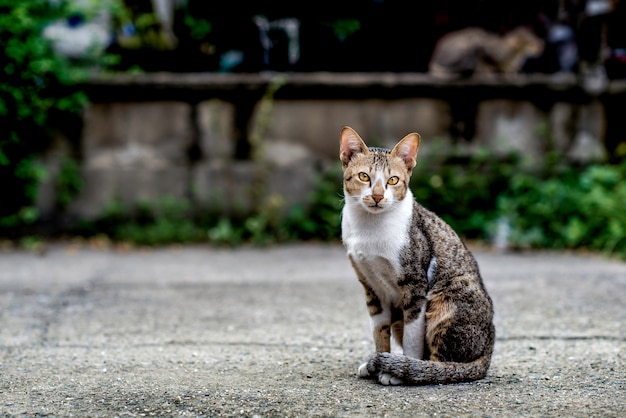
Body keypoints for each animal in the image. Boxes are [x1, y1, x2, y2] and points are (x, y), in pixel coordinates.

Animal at [338, 126, 494, 386]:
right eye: (364, 177)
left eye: (393, 180)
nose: (378, 196)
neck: (369, 229)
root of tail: (489, 350)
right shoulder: (371, 286)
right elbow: (379, 331)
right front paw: (379, 362)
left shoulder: (415, 285)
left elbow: (413, 335)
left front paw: (399, 370)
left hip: (447, 298)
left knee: (444, 365)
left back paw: (420, 369)